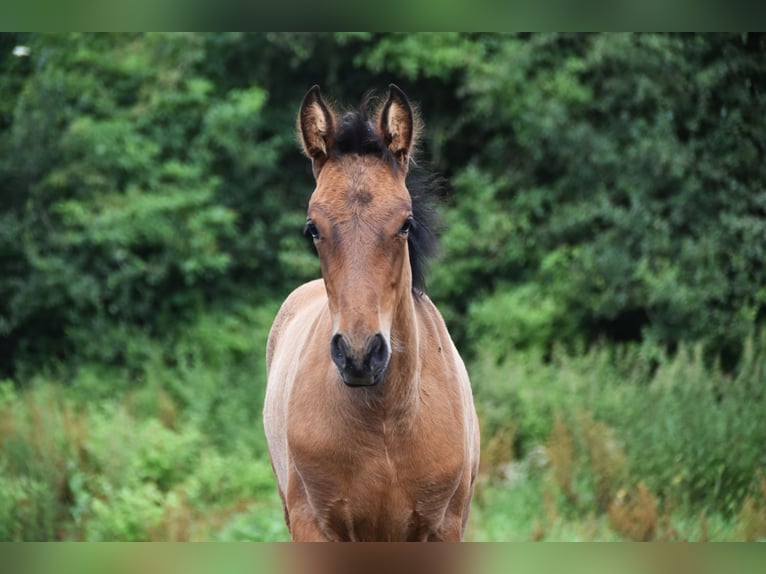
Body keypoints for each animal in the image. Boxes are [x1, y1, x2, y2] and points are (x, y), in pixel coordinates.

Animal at [264, 83, 480, 544]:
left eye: (405, 224)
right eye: (313, 228)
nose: (360, 355)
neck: (386, 420)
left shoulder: (442, 529)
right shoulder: (314, 527)